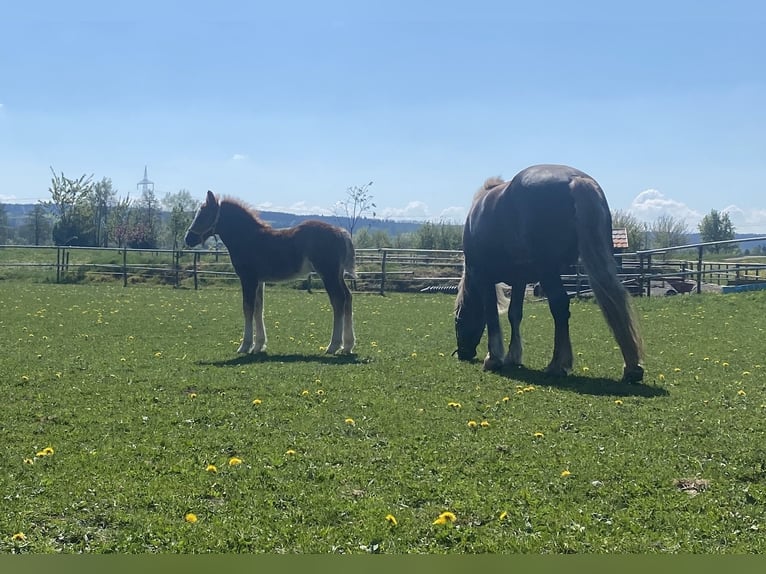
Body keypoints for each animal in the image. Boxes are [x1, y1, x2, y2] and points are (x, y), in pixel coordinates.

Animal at [184, 190, 356, 355]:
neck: (247, 237)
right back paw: (347, 346)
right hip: (337, 275)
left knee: (338, 300)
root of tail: (341, 232)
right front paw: (258, 345)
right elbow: (258, 308)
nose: (188, 239)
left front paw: (245, 346)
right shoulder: (259, 281)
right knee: (348, 298)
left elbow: (248, 308)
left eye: (203, 215)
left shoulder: (248, 279)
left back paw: (333, 346)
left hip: (328, 274)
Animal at [454, 164, 644, 383]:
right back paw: (632, 368)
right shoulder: (519, 281)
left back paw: (557, 365)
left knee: (560, 306)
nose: (463, 353)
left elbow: (492, 315)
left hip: (548, 271)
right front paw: (513, 356)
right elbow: (514, 314)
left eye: (457, 322)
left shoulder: (484, 277)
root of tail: (576, 179)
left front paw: (493, 359)